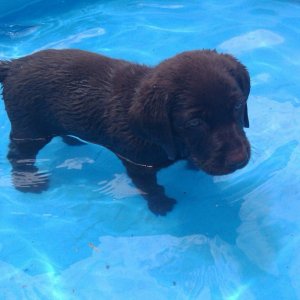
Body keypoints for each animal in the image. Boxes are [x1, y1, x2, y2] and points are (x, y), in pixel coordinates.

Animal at [0, 49, 251, 214]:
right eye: (194, 123)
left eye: (238, 105)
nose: (239, 159)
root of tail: (13, 65)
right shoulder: (138, 164)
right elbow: (149, 187)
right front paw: (160, 204)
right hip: (30, 129)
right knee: (17, 155)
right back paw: (29, 182)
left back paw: (72, 140)